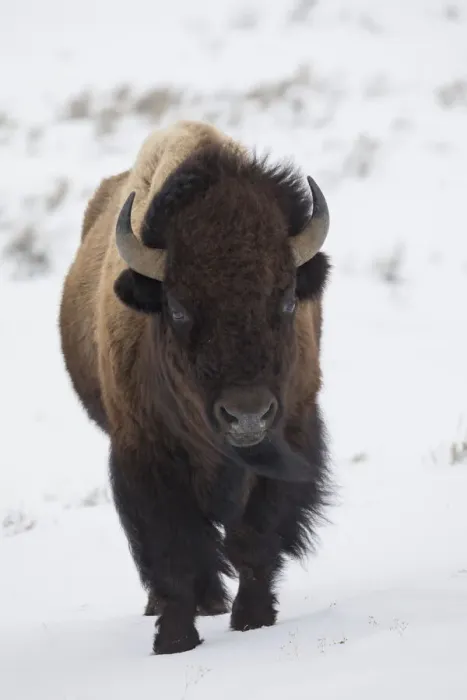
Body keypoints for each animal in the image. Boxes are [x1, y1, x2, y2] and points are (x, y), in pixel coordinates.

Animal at [59, 120, 332, 655]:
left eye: (287, 299)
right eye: (179, 308)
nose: (246, 414)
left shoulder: (290, 436)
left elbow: (254, 537)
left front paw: (253, 619)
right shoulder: (147, 454)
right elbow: (174, 549)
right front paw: (175, 640)